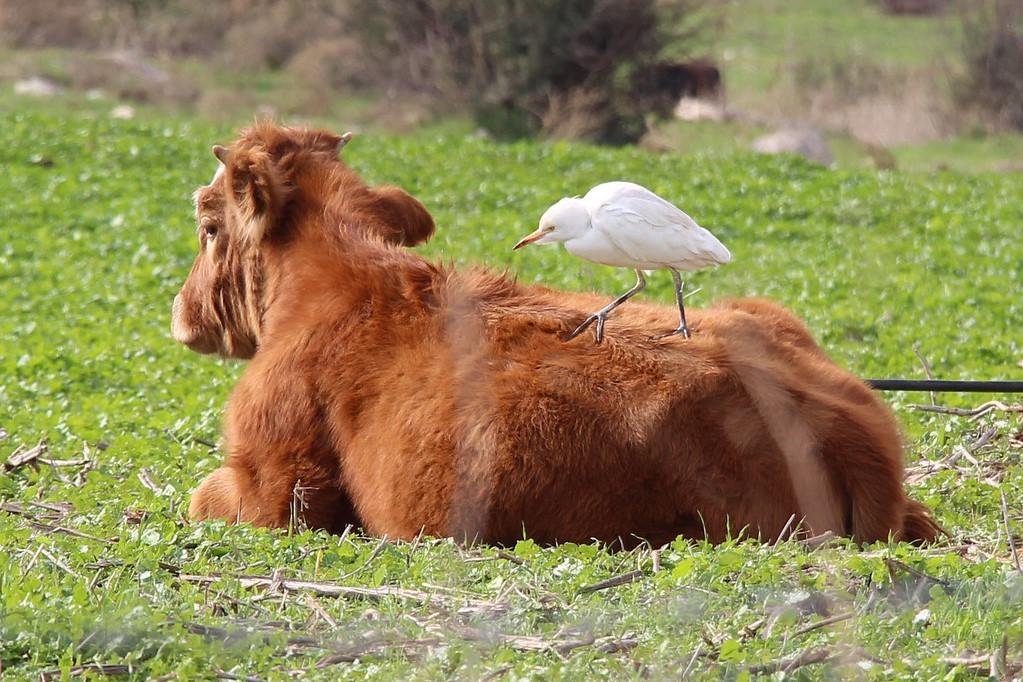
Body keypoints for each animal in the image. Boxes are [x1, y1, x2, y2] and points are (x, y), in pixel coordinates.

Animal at [173, 122, 941, 548]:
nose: (182, 314)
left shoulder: (277, 486)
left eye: (207, 223)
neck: (336, 275)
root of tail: (848, 424)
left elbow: (201, 496)